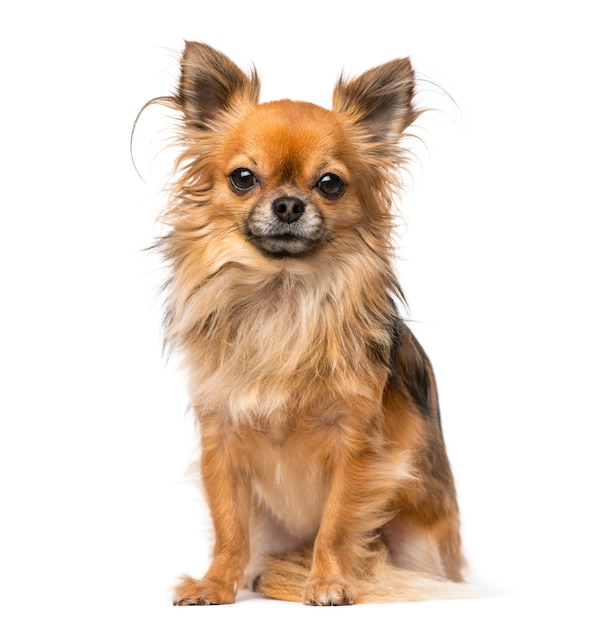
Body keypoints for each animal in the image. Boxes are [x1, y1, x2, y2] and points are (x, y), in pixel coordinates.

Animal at [150, 41, 470, 604]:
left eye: (330, 184)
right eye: (243, 178)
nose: (288, 204)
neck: (282, 296)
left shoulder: (357, 446)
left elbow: (338, 522)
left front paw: (327, 581)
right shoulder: (221, 439)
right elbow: (228, 524)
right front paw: (216, 583)